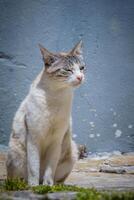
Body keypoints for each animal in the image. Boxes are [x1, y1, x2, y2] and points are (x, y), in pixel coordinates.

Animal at [6, 40, 85, 186]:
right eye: (68, 70)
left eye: (82, 68)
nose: (80, 77)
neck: (56, 96)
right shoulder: (33, 138)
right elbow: (33, 167)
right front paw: (34, 186)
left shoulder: (57, 141)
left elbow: (50, 169)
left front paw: (47, 186)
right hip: (15, 152)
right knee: (17, 178)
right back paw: (24, 184)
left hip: (72, 151)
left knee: (58, 179)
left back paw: (56, 185)